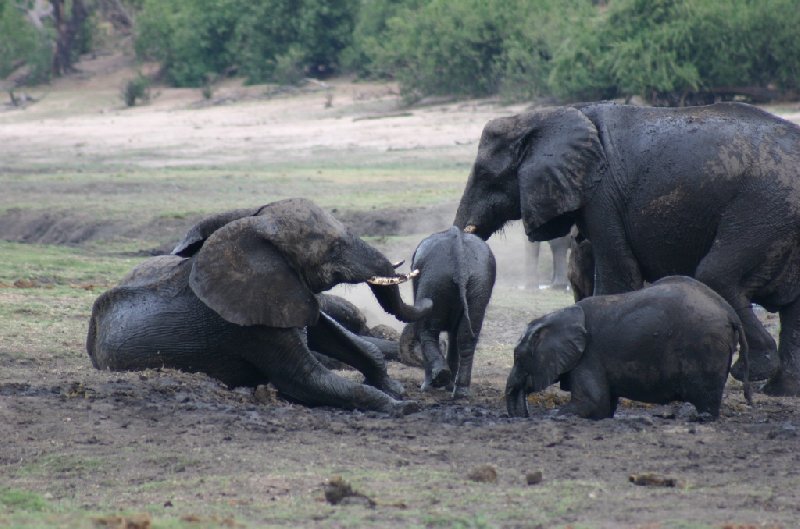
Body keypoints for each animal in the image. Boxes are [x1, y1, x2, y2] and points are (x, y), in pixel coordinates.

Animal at [86, 197, 432, 412]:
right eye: (334, 248)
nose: (428, 298)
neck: (254, 230)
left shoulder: (282, 291)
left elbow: (336, 335)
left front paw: (394, 388)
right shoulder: (245, 326)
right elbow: (305, 379)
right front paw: (403, 406)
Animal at [398, 226, 494, 396]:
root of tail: (459, 253)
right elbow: (455, 336)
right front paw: (448, 387)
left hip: (435, 280)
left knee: (426, 332)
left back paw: (433, 383)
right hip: (479, 283)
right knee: (466, 337)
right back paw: (460, 392)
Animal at [454, 102, 800, 396]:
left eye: (485, 174)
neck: (550, 115)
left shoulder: (603, 196)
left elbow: (618, 276)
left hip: (763, 208)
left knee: (717, 275)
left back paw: (753, 371)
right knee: (792, 304)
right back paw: (782, 390)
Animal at [506, 274, 752, 418]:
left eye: (519, 357)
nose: (522, 415)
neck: (563, 315)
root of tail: (729, 312)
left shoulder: (588, 357)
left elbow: (593, 404)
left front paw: (555, 415)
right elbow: (604, 407)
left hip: (705, 345)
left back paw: (697, 417)